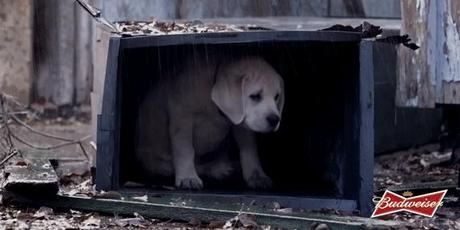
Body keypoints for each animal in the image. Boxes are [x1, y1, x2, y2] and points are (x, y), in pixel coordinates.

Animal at [136, 56, 284, 190]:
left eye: (276, 97)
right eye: (255, 96)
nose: (274, 119)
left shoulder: (242, 121)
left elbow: (249, 149)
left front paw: (256, 176)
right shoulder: (182, 120)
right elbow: (185, 150)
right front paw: (188, 177)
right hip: (156, 162)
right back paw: (219, 169)